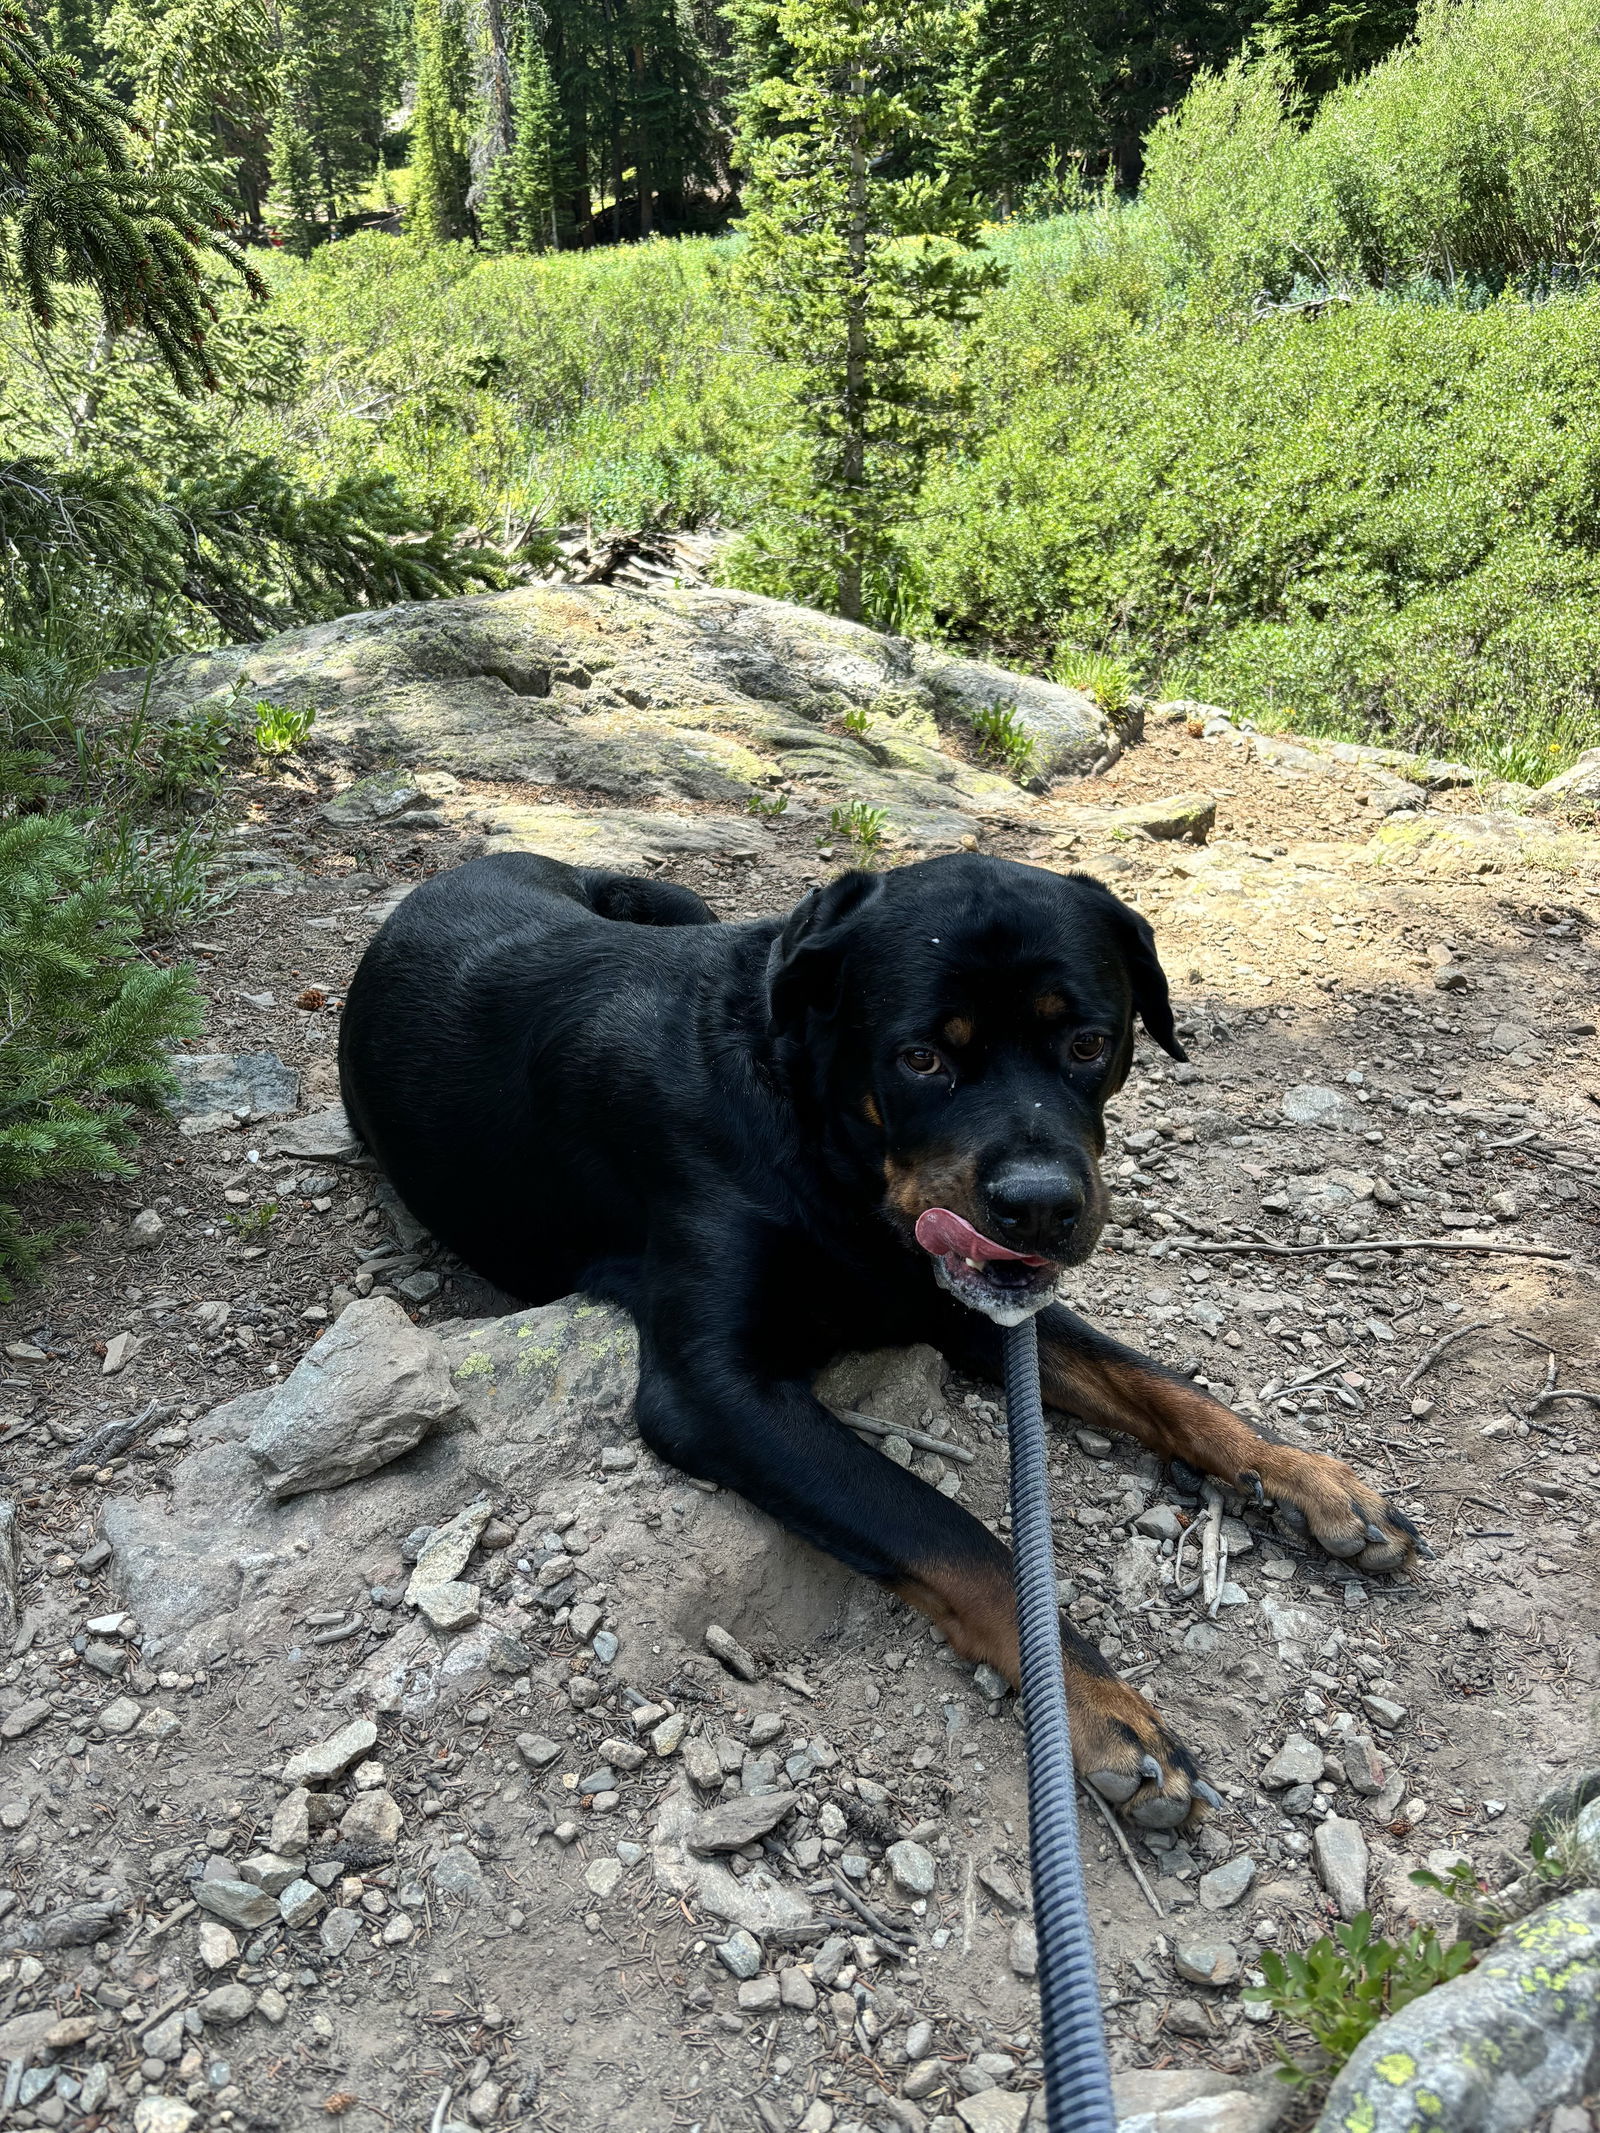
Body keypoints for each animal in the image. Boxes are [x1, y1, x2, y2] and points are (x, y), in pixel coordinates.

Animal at [345, 848, 1425, 1817]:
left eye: (1088, 1043)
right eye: (920, 1058)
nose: (1040, 1205)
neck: (823, 1145)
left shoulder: (966, 1300)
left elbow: (1159, 1384)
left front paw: (1304, 1477)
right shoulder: (717, 1389)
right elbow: (954, 1535)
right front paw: (1100, 1708)